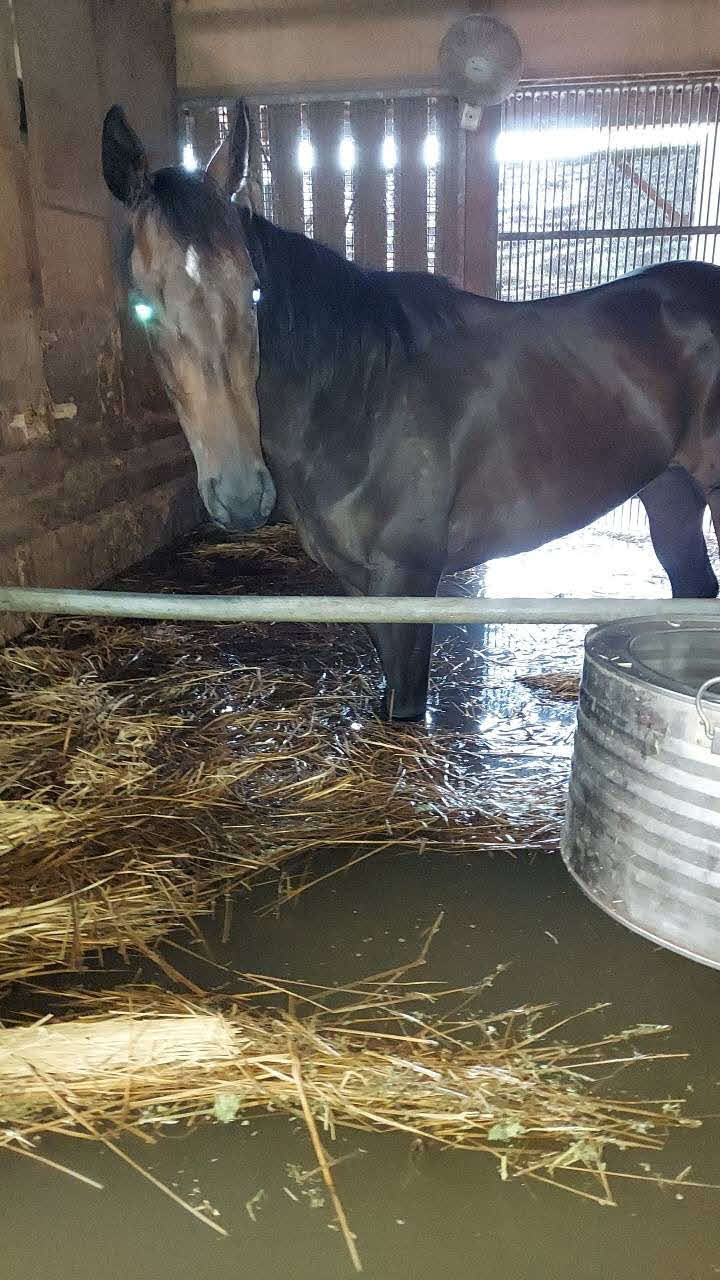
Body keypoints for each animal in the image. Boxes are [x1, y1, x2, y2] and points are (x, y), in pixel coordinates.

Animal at [102, 103, 720, 720]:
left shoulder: (411, 580)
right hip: (671, 492)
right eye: (143, 306)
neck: (364, 399)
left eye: (253, 290)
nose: (241, 495)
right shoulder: (363, 587)